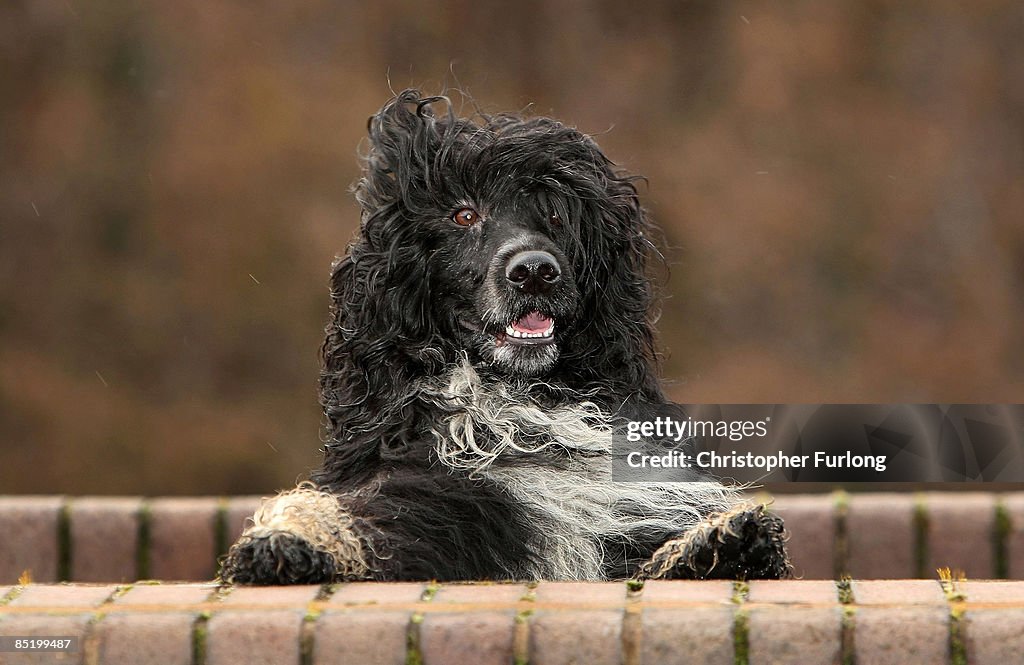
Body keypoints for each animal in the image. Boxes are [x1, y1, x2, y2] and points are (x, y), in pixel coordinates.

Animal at [220, 90, 786, 582]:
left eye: (556, 213)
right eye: (464, 214)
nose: (534, 272)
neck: (521, 401)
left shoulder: (631, 510)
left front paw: (719, 545)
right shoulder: (439, 499)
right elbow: (363, 521)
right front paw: (287, 543)